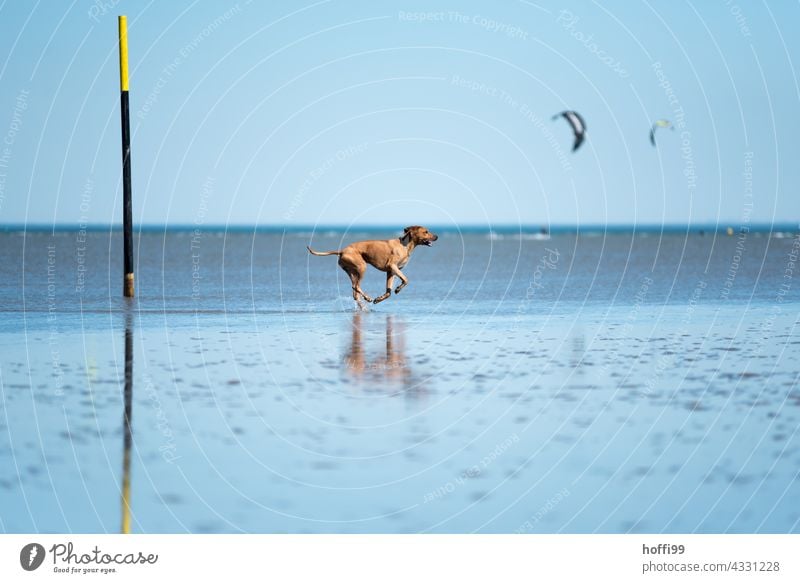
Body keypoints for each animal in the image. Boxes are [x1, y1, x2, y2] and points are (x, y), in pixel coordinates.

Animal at [306, 226, 438, 308]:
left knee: (355, 291)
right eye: (426, 231)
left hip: (352, 271)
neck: (405, 245)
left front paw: (379, 298)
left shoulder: (391, 272)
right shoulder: (392, 266)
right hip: (362, 267)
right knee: (356, 287)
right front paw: (398, 289)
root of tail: (342, 251)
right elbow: (406, 279)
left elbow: (388, 292)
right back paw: (367, 298)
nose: (437, 236)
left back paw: (363, 304)